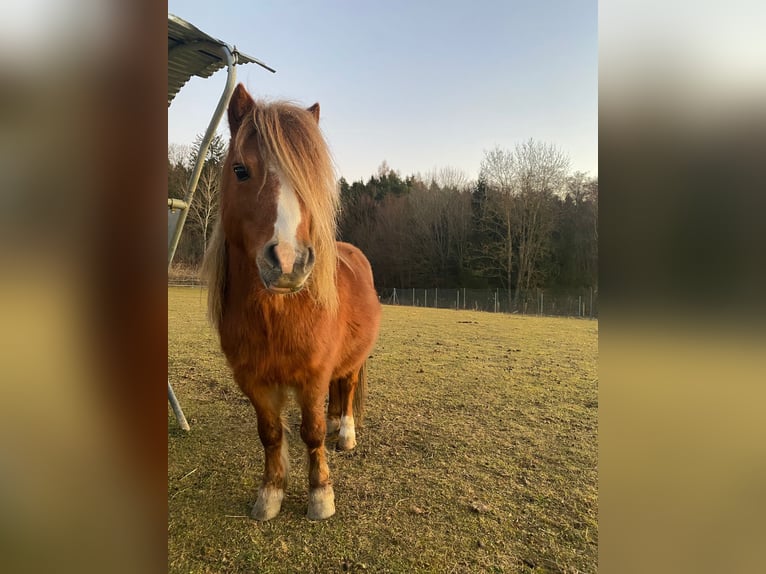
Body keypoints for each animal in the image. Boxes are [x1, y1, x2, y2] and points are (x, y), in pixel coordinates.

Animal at [202, 84, 382, 520]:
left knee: (347, 387)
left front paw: (320, 495)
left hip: (354, 360)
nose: (287, 261)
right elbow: (270, 434)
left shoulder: (312, 376)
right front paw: (270, 494)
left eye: (309, 178)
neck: (276, 315)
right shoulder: (253, 379)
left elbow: (310, 432)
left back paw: (345, 432)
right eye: (240, 170)